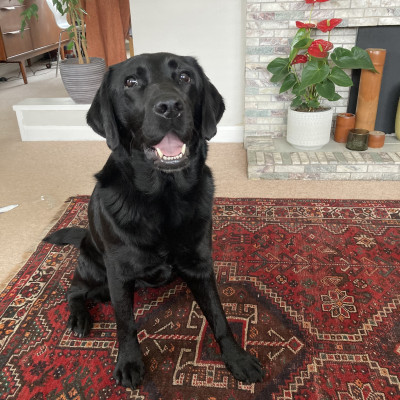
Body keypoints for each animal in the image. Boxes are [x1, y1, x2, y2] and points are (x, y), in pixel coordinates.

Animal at [45, 53, 264, 389]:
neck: (164, 196)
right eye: (131, 82)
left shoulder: (200, 265)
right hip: (95, 272)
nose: (170, 106)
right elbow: (125, 324)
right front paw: (129, 362)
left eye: (185, 77)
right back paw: (79, 319)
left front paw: (235, 357)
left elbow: (219, 316)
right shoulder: (119, 275)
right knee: (73, 291)